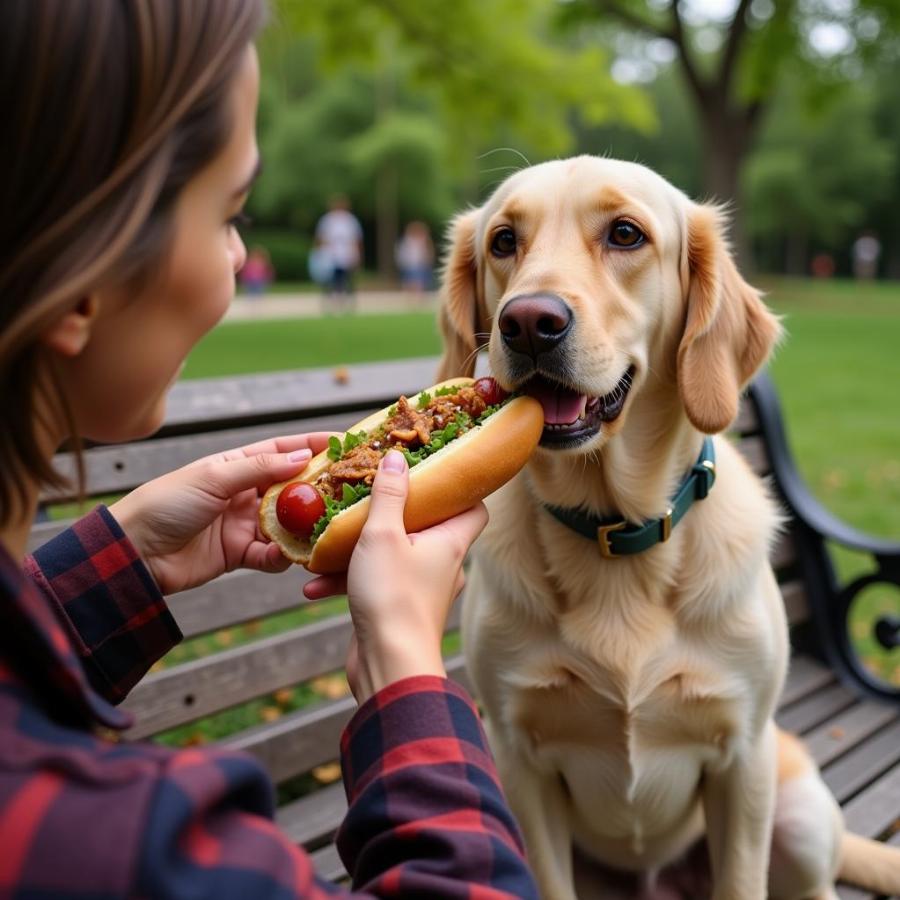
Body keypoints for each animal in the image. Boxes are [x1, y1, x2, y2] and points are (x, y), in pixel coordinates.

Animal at [436, 158, 900, 900]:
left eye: (626, 234)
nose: (529, 322)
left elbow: (740, 878)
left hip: (797, 813)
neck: (614, 528)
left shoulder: (744, 756)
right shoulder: (519, 765)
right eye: (504, 242)